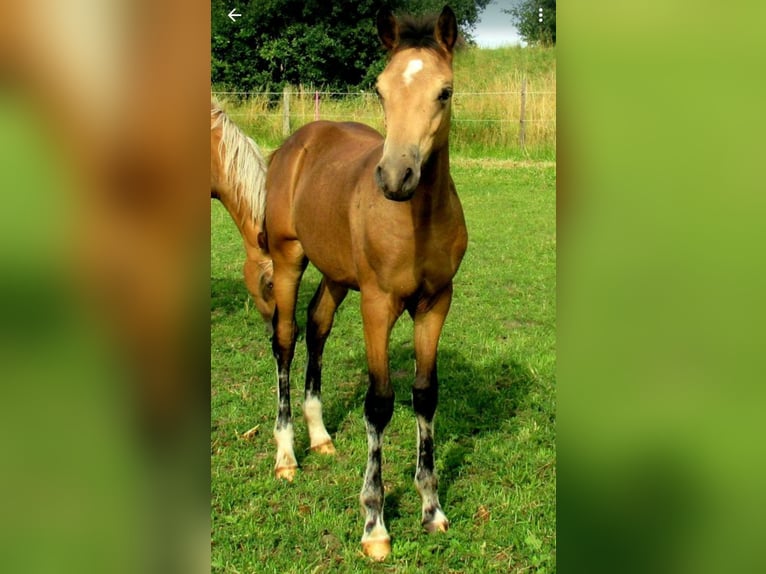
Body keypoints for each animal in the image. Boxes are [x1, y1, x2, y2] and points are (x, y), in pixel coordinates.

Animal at [260, 6, 468, 560]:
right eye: (379, 90)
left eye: (444, 91)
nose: (396, 176)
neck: (417, 221)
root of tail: (297, 141)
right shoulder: (378, 304)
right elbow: (379, 403)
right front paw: (375, 523)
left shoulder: (436, 302)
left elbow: (425, 394)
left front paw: (431, 508)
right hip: (288, 258)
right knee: (285, 338)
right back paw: (287, 454)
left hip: (336, 273)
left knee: (317, 325)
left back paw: (320, 435)